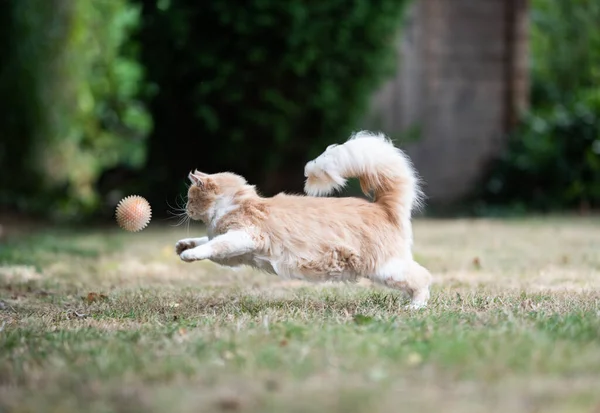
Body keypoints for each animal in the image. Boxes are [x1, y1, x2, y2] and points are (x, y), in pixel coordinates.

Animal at [173, 130, 432, 308]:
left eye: (190, 197)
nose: (185, 208)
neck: (235, 203)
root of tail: (382, 207)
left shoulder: (245, 236)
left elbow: (212, 245)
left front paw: (188, 254)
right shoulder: (233, 256)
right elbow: (206, 240)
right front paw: (183, 245)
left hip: (387, 268)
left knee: (423, 278)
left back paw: (416, 307)